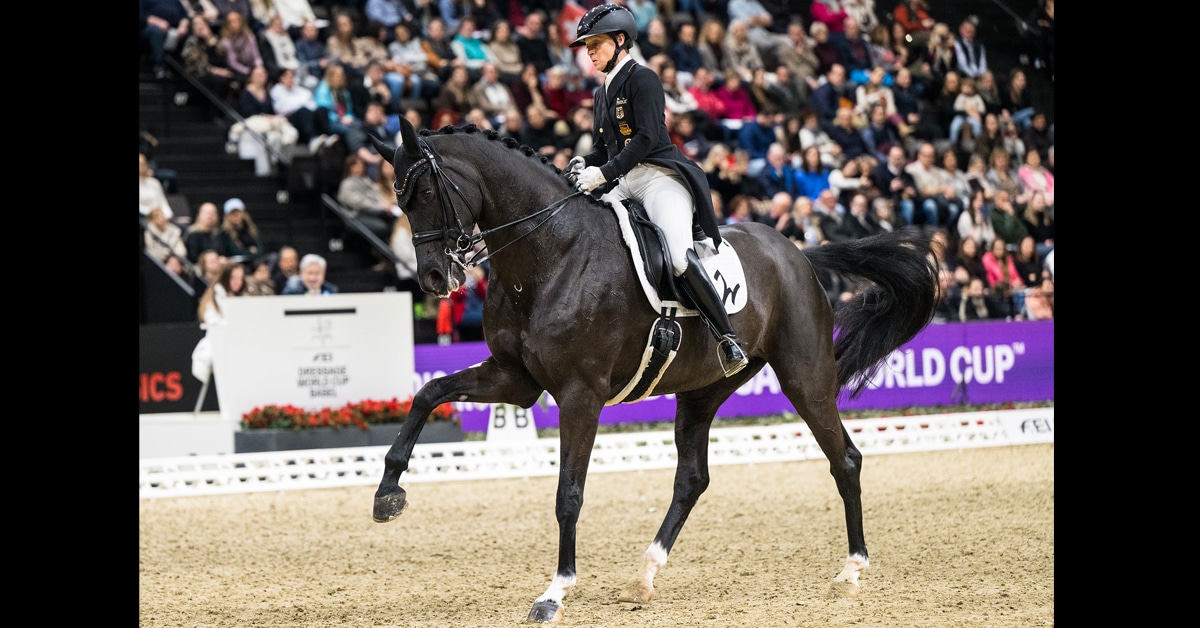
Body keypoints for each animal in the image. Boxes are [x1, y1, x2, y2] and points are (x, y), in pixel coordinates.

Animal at [369, 118, 940, 623]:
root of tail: (797, 253)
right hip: (704, 390)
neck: (549, 253)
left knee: (845, 460)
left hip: (805, 376)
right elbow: (430, 393)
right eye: (399, 200)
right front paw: (388, 492)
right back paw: (644, 575)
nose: (435, 278)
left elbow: (568, 494)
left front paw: (555, 593)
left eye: (423, 192)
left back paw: (851, 571)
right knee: (692, 478)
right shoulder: (516, 379)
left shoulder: (580, 394)